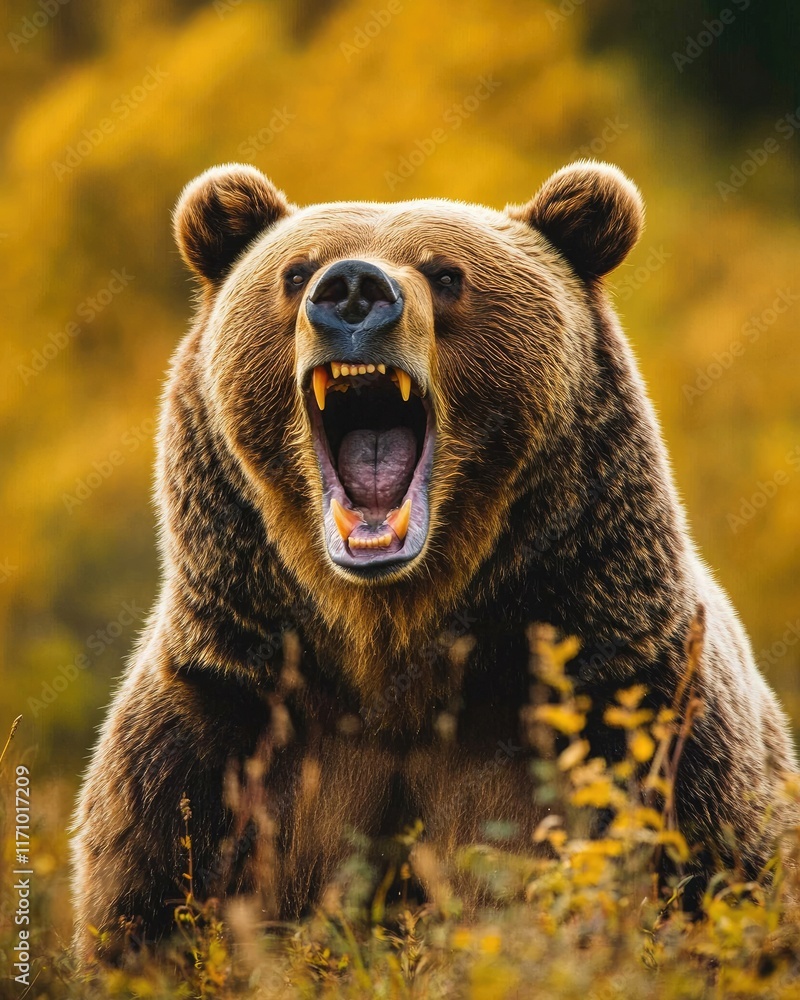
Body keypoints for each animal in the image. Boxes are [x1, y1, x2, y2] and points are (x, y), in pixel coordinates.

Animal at [71, 160, 797, 964]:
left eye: (446, 274)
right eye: (295, 273)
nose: (352, 289)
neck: (392, 636)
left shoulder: (638, 714)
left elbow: (706, 881)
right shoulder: (214, 728)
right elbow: (145, 908)